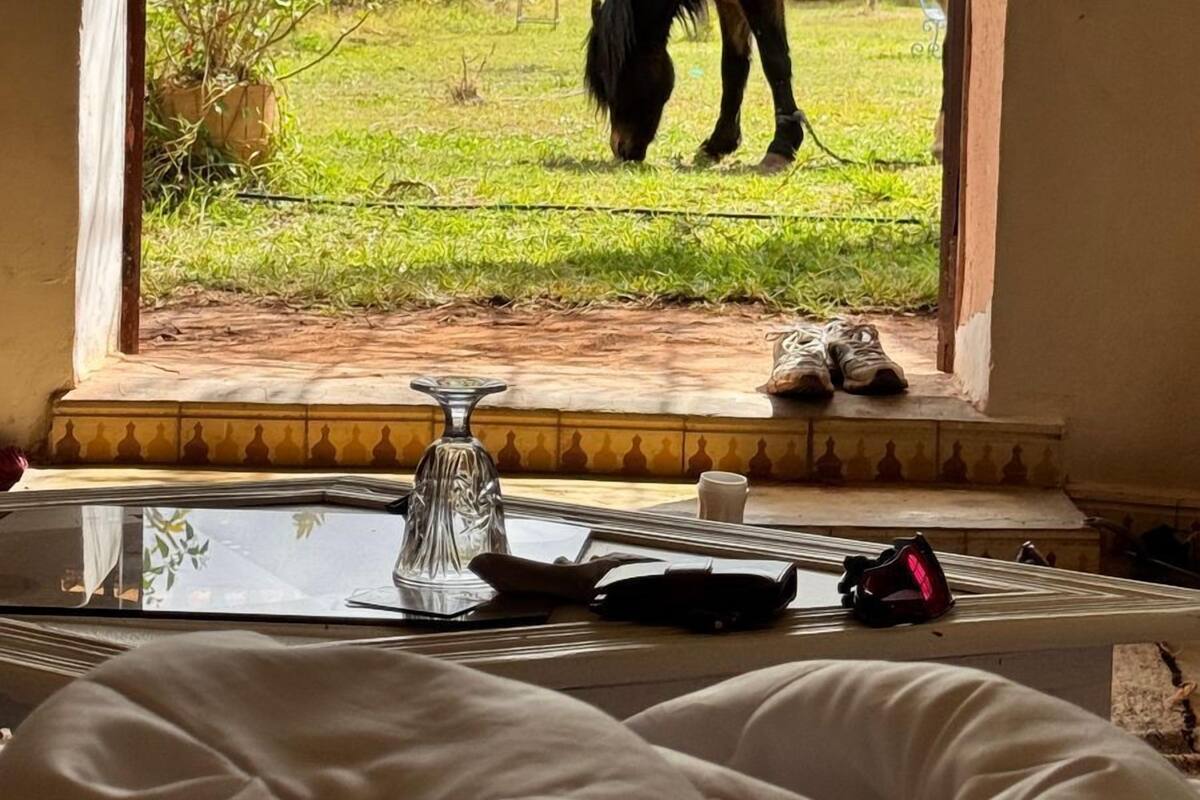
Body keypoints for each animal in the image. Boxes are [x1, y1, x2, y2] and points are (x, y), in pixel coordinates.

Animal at [584, 0, 804, 172]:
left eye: (615, 77)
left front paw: (782, 146)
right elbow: (733, 64)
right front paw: (719, 144)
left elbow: (774, 59)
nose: (620, 148)